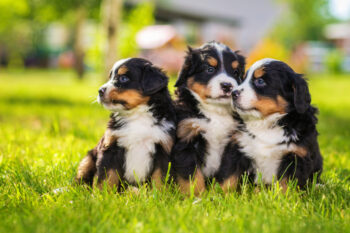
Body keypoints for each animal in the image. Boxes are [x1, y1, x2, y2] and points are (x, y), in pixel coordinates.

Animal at [75, 57, 176, 189]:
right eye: (110, 77)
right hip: (88, 158)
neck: (137, 115)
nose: (100, 91)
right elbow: (106, 178)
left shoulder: (163, 149)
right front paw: (101, 194)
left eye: (123, 78)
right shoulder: (110, 147)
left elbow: (159, 178)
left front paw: (158, 193)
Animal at [172, 41, 246, 194]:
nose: (227, 86)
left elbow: (228, 175)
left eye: (235, 72)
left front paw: (223, 195)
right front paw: (197, 197)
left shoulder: (233, 142)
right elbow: (193, 177)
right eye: (210, 69)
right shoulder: (186, 138)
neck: (216, 111)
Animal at [231, 58, 324, 191]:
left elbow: (286, 185)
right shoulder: (240, 150)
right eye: (242, 79)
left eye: (260, 81)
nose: (233, 93)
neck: (266, 123)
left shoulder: (296, 156)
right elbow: (231, 179)